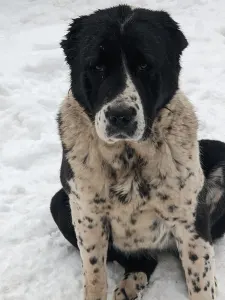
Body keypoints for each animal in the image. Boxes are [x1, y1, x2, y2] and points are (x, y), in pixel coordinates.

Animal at [50, 4, 225, 300]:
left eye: (144, 65)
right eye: (97, 66)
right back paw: (131, 284)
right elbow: (95, 277)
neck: (128, 157)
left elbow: (200, 282)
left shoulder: (190, 219)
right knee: (142, 260)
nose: (120, 116)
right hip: (59, 205)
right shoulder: (87, 214)